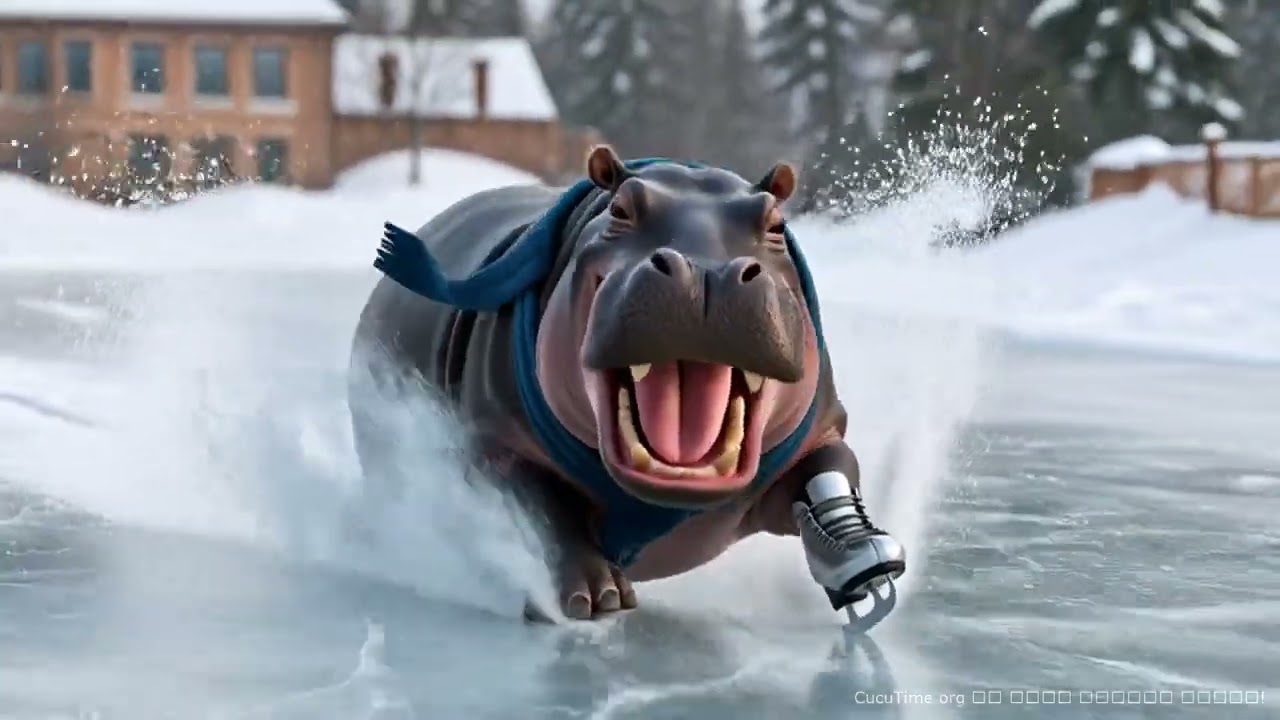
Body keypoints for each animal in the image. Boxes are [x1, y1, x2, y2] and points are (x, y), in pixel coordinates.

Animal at [348, 145, 906, 626]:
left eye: (775, 223)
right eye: (620, 209)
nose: (707, 271)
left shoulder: (821, 426)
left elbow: (830, 469)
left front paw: (863, 566)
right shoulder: (492, 438)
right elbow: (543, 505)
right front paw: (593, 596)